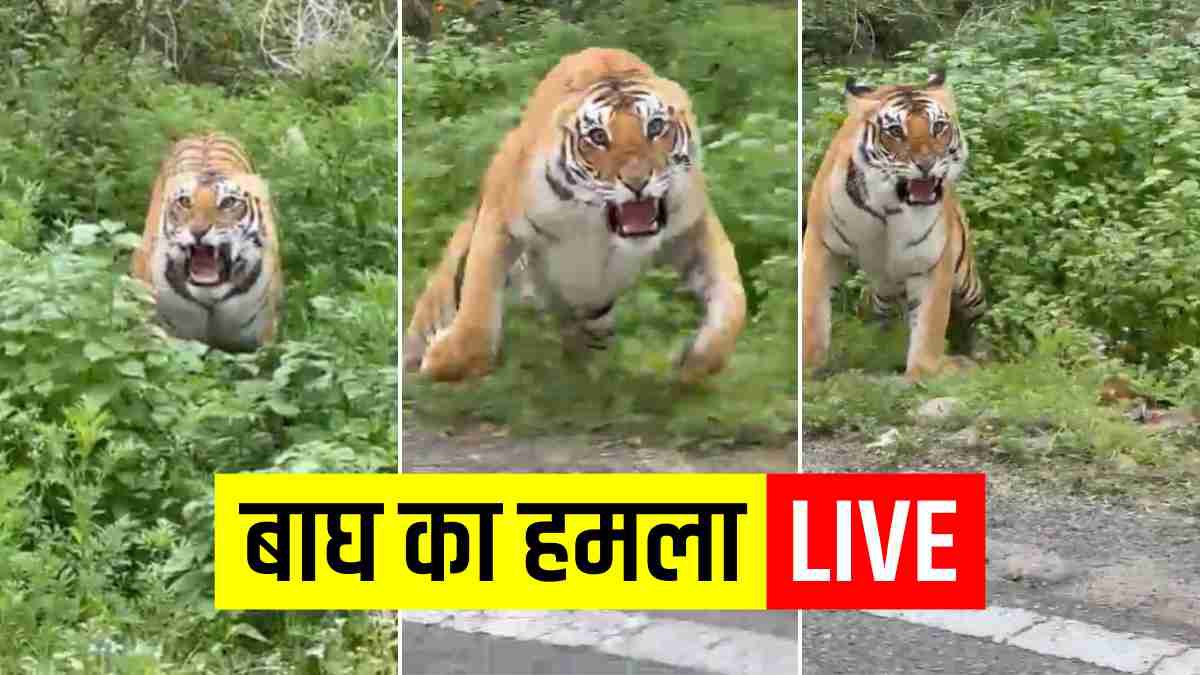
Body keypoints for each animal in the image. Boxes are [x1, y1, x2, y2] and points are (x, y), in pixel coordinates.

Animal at [130, 132, 283, 352]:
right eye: (185, 202)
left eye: (228, 202)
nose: (198, 231)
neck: (210, 295)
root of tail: (205, 132)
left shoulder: (261, 340)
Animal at [403, 48, 746, 383]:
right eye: (598, 137)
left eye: (655, 127)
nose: (637, 182)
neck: (599, 225)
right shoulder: (500, 221)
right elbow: (478, 304)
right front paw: (443, 362)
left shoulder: (693, 224)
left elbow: (733, 300)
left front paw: (694, 362)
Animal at [802, 70, 986, 382]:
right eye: (896, 131)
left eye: (938, 127)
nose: (927, 163)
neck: (889, 208)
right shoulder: (821, 245)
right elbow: (812, 315)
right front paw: (808, 369)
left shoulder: (932, 263)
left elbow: (930, 328)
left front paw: (921, 375)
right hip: (884, 287)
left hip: (967, 282)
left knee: (979, 320)